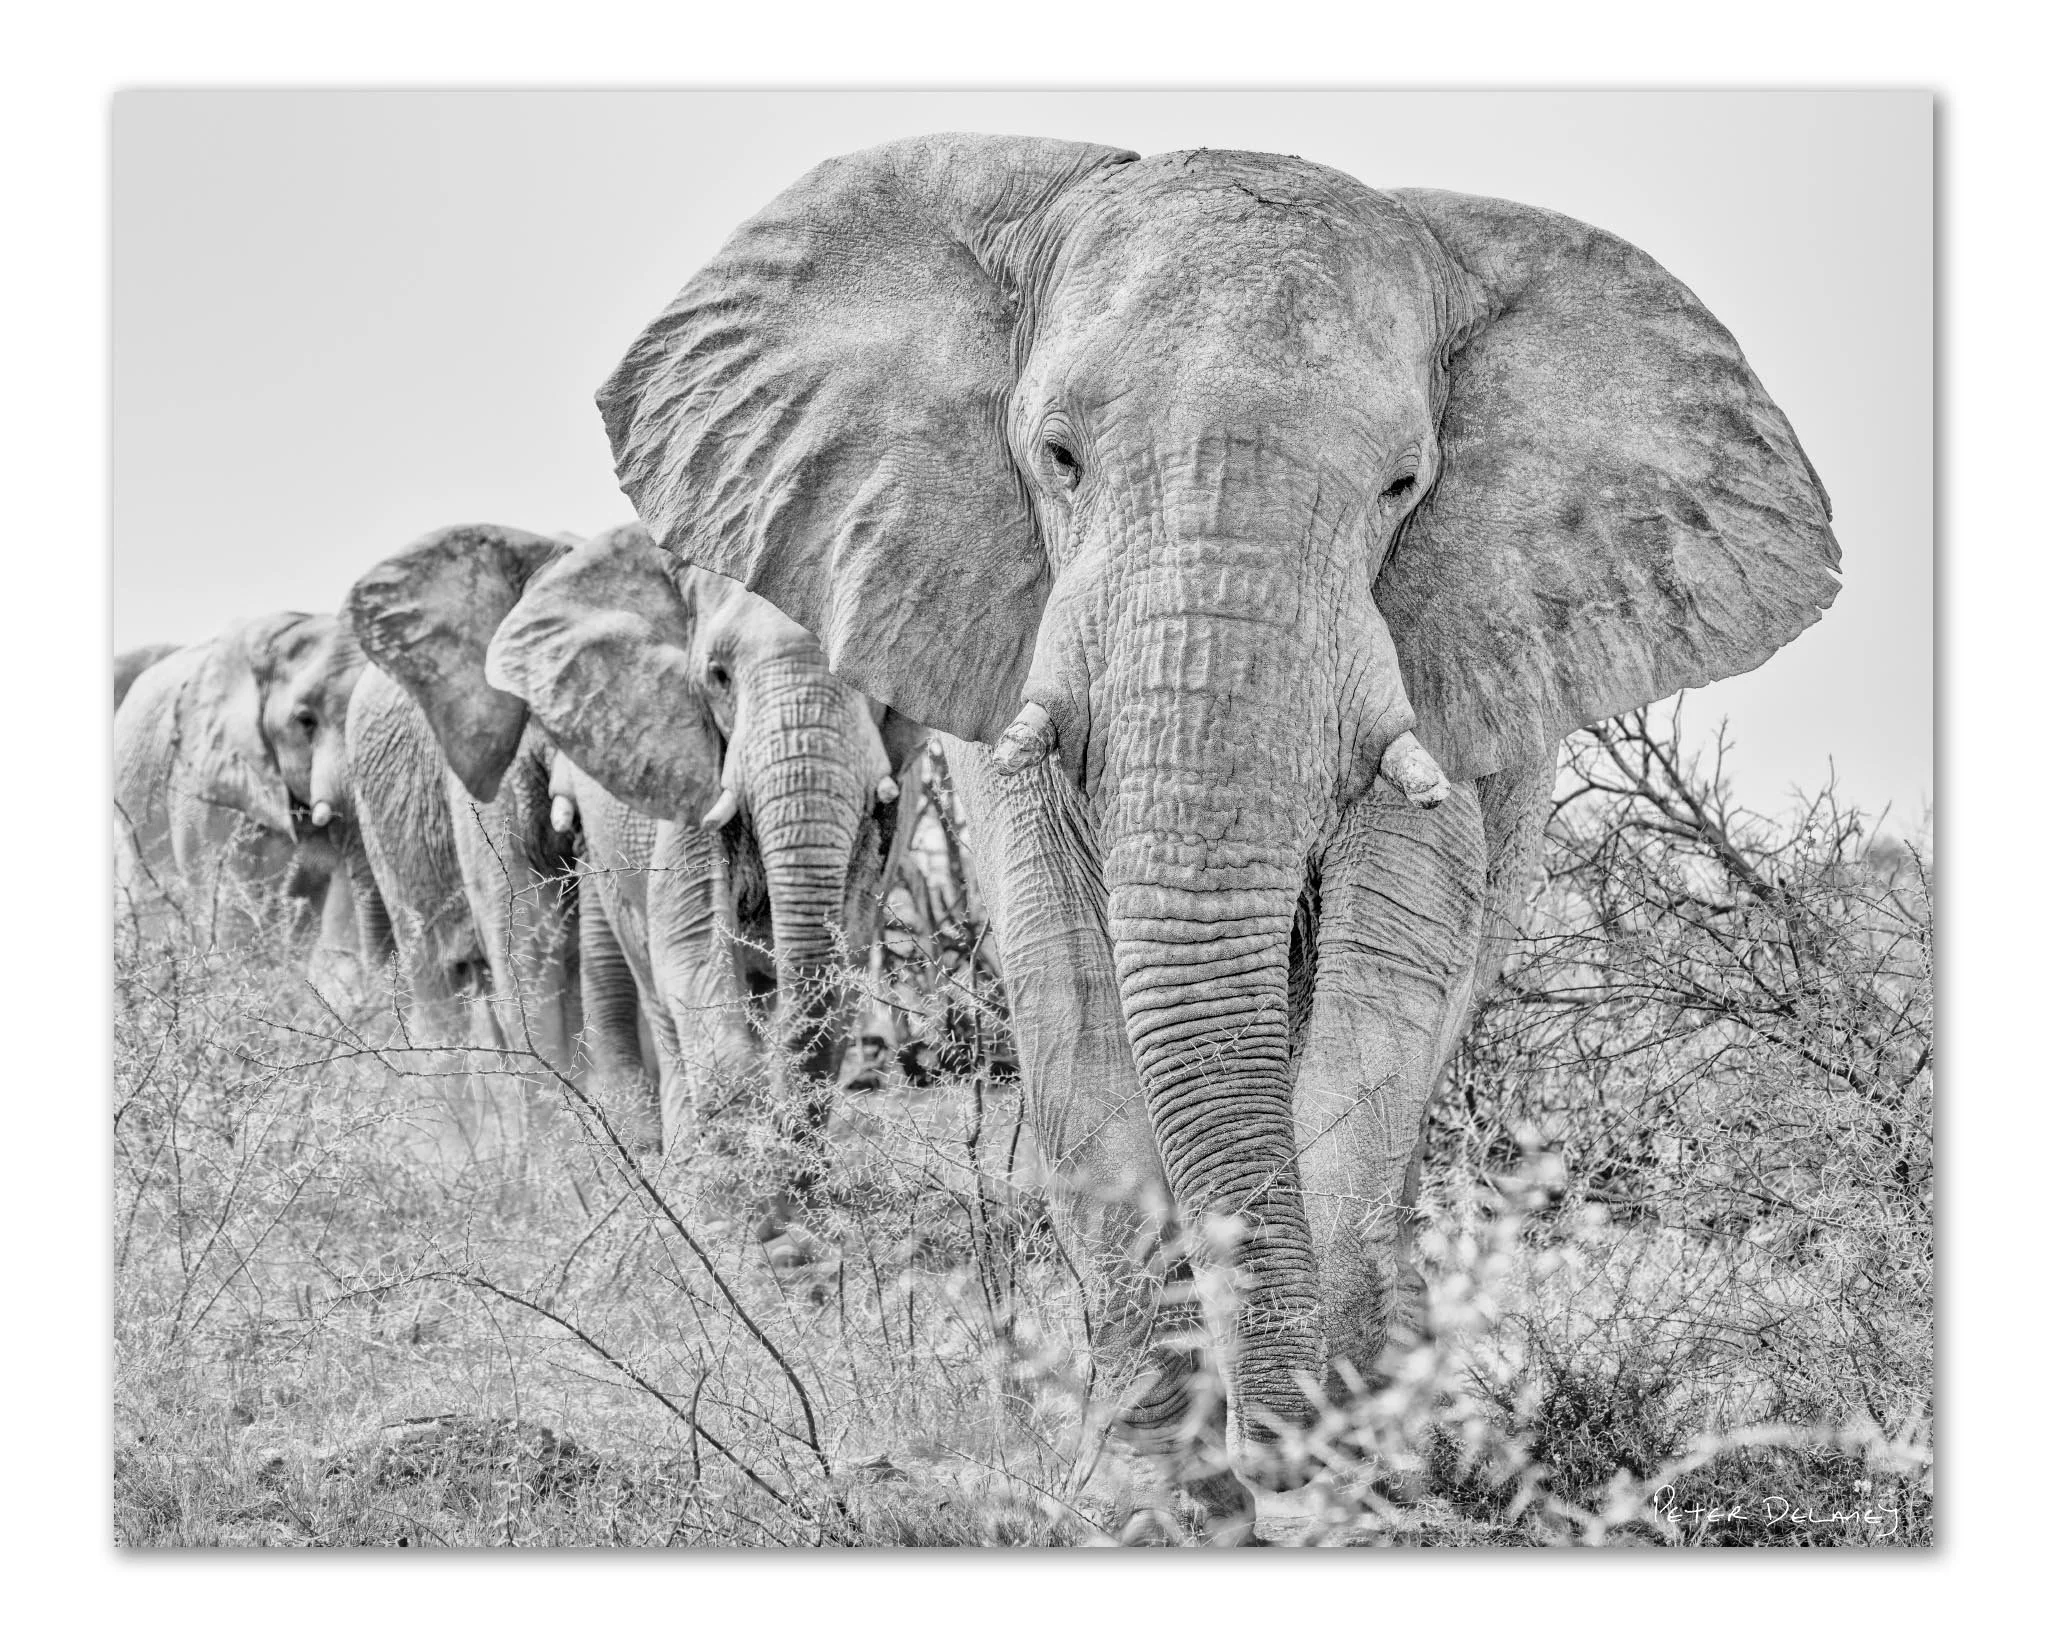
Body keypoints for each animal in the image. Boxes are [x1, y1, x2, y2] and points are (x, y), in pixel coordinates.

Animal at [482, 522, 925, 1212]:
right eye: (717, 674)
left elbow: (845, 947)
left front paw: (798, 1198)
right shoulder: (683, 762)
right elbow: (691, 946)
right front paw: (742, 1196)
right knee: (660, 990)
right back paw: (687, 1178)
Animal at [594, 134, 1841, 1538]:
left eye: (1402, 485)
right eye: (1058, 455)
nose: (1276, 1461)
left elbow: (1379, 992)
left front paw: (1357, 1484)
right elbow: (1070, 992)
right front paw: (1157, 1502)